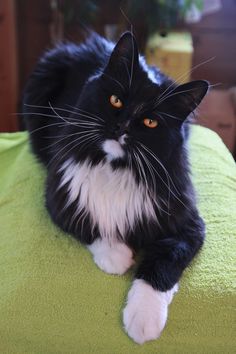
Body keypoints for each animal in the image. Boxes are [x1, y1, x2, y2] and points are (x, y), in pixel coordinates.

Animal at [23, 31, 208, 344]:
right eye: (116, 101)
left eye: (150, 121)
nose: (121, 127)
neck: (115, 166)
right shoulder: (59, 197)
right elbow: (91, 225)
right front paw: (117, 257)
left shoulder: (187, 226)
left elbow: (162, 266)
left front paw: (143, 321)